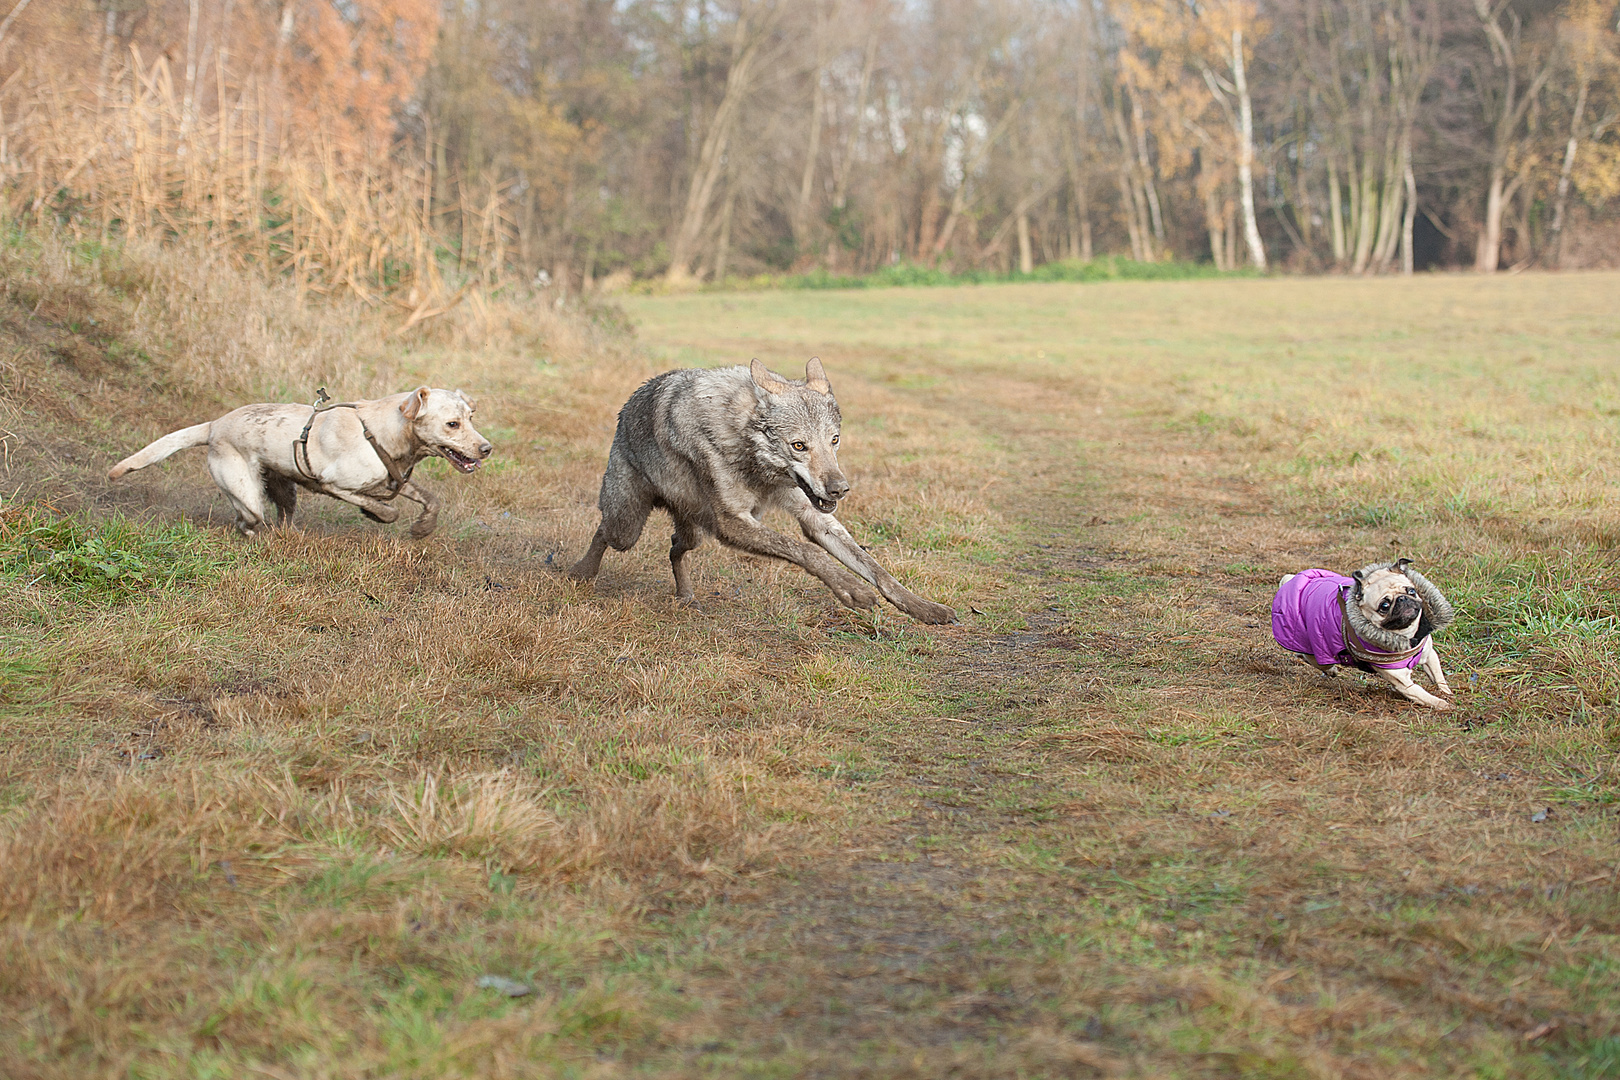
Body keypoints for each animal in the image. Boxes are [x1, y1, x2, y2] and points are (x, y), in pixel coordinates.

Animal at [107, 388, 489, 540]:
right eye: (452, 424)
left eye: (471, 417)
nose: (487, 449)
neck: (386, 434)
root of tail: (214, 425)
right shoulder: (334, 484)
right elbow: (386, 509)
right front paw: (376, 514)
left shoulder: (397, 479)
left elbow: (431, 500)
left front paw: (423, 528)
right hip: (247, 494)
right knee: (246, 520)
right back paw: (256, 536)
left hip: (285, 491)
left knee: (281, 519)